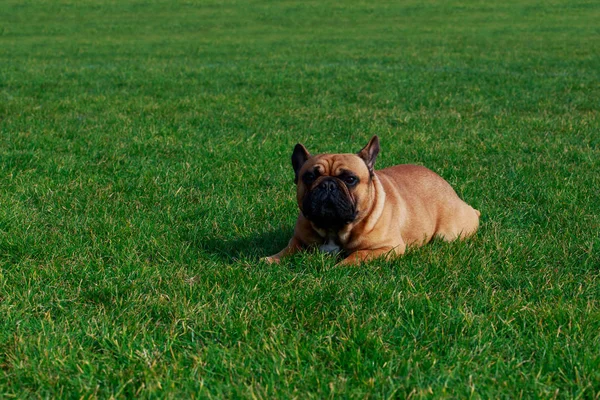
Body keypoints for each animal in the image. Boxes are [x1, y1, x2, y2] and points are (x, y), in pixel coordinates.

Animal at [264, 136, 480, 264]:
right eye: (309, 177)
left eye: (350, 179)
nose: (328, 185)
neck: (334, 228)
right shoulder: (298, 240)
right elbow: (286, 250)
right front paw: (270, 259)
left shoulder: (388, 247)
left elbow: (358, 254)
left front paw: (341, 265)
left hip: (448, 234)